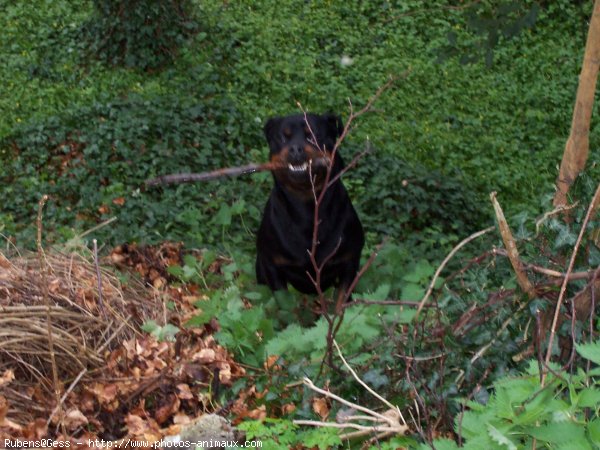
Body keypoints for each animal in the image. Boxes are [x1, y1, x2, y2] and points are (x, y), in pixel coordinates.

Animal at [255, 114, 364, 300]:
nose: (295, 148)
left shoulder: (350, 263)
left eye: (313, 136)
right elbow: (285, 304)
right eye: (282, 137)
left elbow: (341, 301)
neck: (307, 206)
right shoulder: (272, 265)